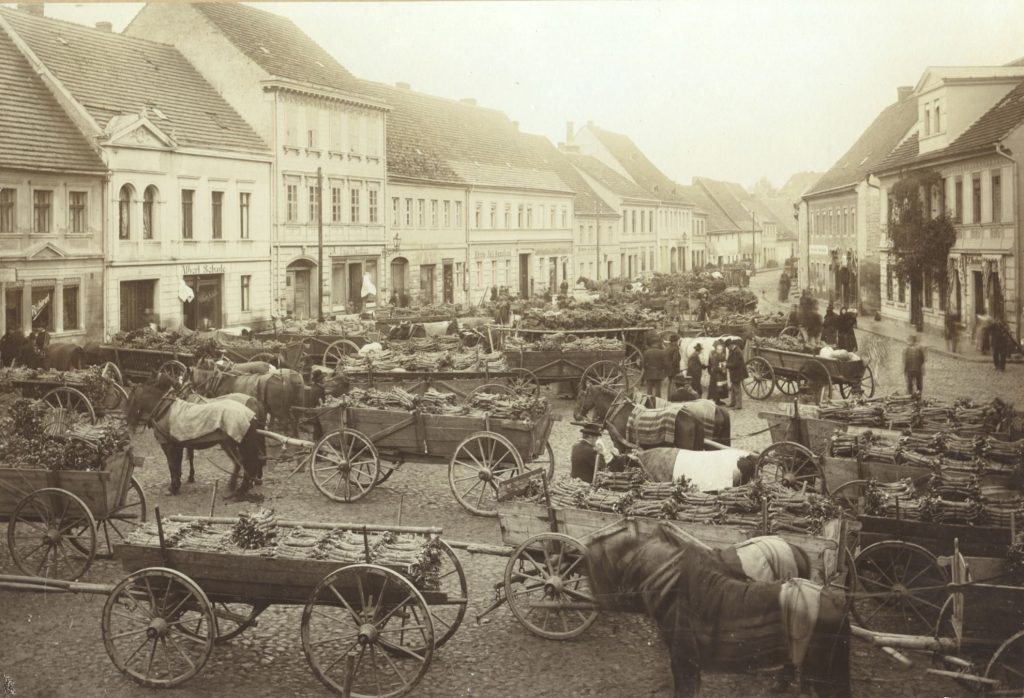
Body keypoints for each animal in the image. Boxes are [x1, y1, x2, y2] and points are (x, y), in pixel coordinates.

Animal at [123, 374, 266, 495]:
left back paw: (239, 486)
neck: (164, 408)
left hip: (233, 442)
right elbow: (178, 464)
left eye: (129, 399)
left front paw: (174, 487)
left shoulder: (168, 445)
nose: (126, 422)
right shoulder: (178, 445)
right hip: (233, 442)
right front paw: (179, 483)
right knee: (247, 461)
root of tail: (251, 407)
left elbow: (172, 465)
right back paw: (245, 483)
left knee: (243, 461)